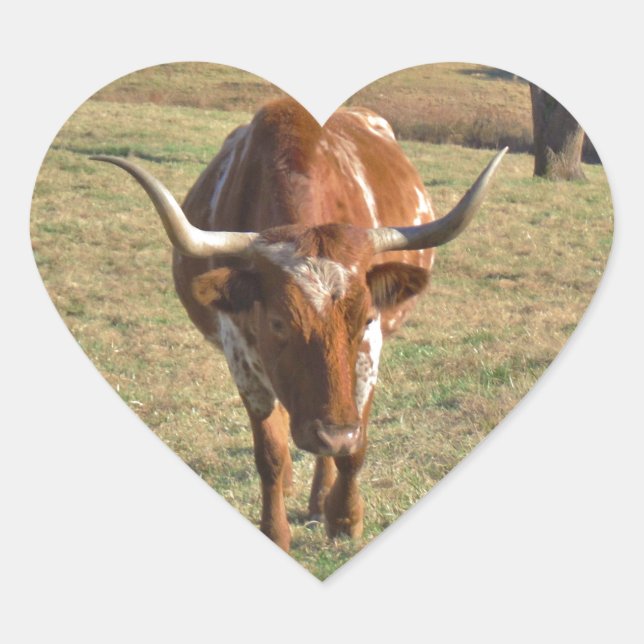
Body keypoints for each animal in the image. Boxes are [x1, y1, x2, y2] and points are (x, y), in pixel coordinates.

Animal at [92, 98, 506, 552]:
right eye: (277, 322)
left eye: (366, 317)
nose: (331, 434)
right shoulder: (242, 360)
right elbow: (270, 453)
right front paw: (276, 530)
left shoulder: (368, 356)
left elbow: (355, 447)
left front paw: (344, 517)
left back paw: (320, 498)